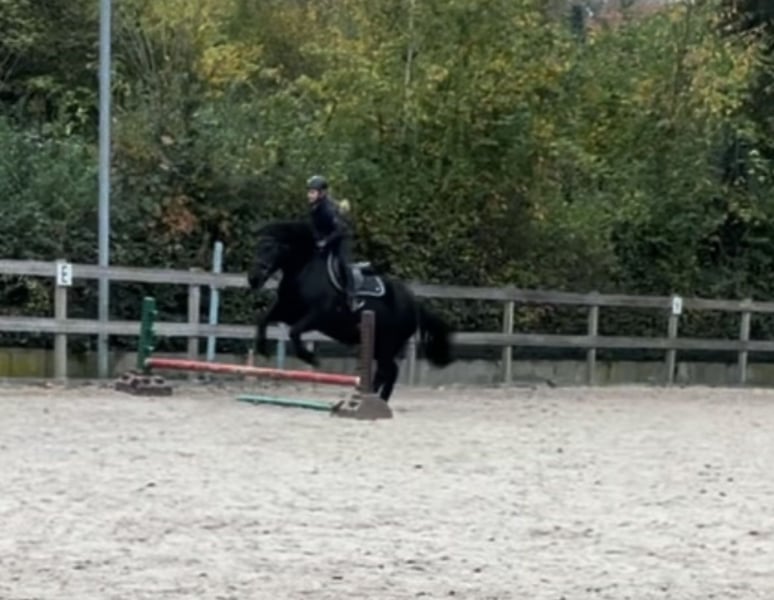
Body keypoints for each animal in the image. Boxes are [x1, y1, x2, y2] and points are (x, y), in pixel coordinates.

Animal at [247, 219, 455, 401]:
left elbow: (294, 332)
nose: (253, 279)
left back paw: (375, 400)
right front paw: (262, 349)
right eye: (257, 247)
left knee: (388, 371)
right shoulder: (287, 311)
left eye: (271, 247)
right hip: (379, 345)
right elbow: (263, 320)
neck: (303, 270)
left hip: (388, 344)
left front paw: (311, 358)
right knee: (388, 371)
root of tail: (414, 304)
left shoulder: (318, 316)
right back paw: (376, 398)